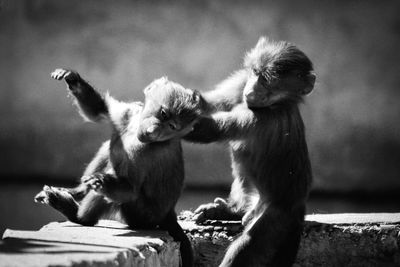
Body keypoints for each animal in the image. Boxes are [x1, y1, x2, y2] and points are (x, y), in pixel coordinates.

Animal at [34, 69, 208, 267]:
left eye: (172, 126)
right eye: (164, 113)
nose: (154, 131)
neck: (136, 131)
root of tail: (168, 214)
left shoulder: (148, 152)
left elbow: (130, 189)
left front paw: (101, 182)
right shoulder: (130, 112)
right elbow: (100, 111)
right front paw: (72, 79)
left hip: (142, 216)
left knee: (113, 189)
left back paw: (80, 217)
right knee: (109, 147)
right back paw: (78, 192)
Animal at [184, 36, 316, 267]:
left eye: (267, 82)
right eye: (255, 72)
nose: (252, 90)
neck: (278, 103)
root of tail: (299, 206)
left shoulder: (262, 119)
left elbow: (209, 130)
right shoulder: (240, 83)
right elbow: (210, 104)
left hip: (277, 215)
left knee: (246, 245)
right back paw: (231, 210)